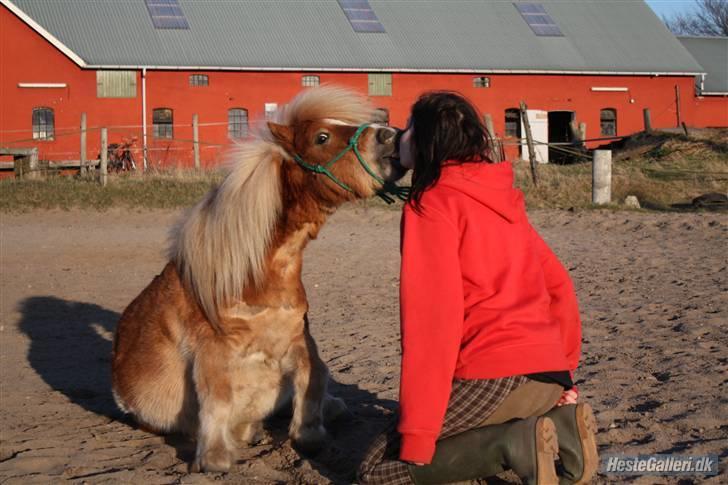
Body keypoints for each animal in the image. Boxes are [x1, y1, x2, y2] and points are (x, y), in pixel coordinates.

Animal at [112, 85, 404, 470]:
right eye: (322, 137)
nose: (390, 136)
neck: (255, 278)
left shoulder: (299, 341)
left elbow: (313, 381)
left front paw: (309, 435)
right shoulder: (213, 353)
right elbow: (218, 400)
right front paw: (216, 458)